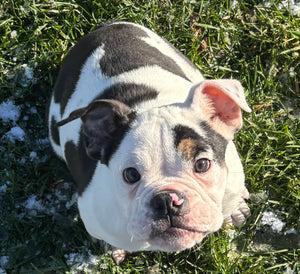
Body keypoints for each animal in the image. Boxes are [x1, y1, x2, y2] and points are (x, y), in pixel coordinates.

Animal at [48, 22, 251, 264]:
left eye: (202, 164)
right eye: (130, 175)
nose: (166, 201)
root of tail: (106, 27)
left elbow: (228, 202)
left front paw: (233, 211)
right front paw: (114, 247)